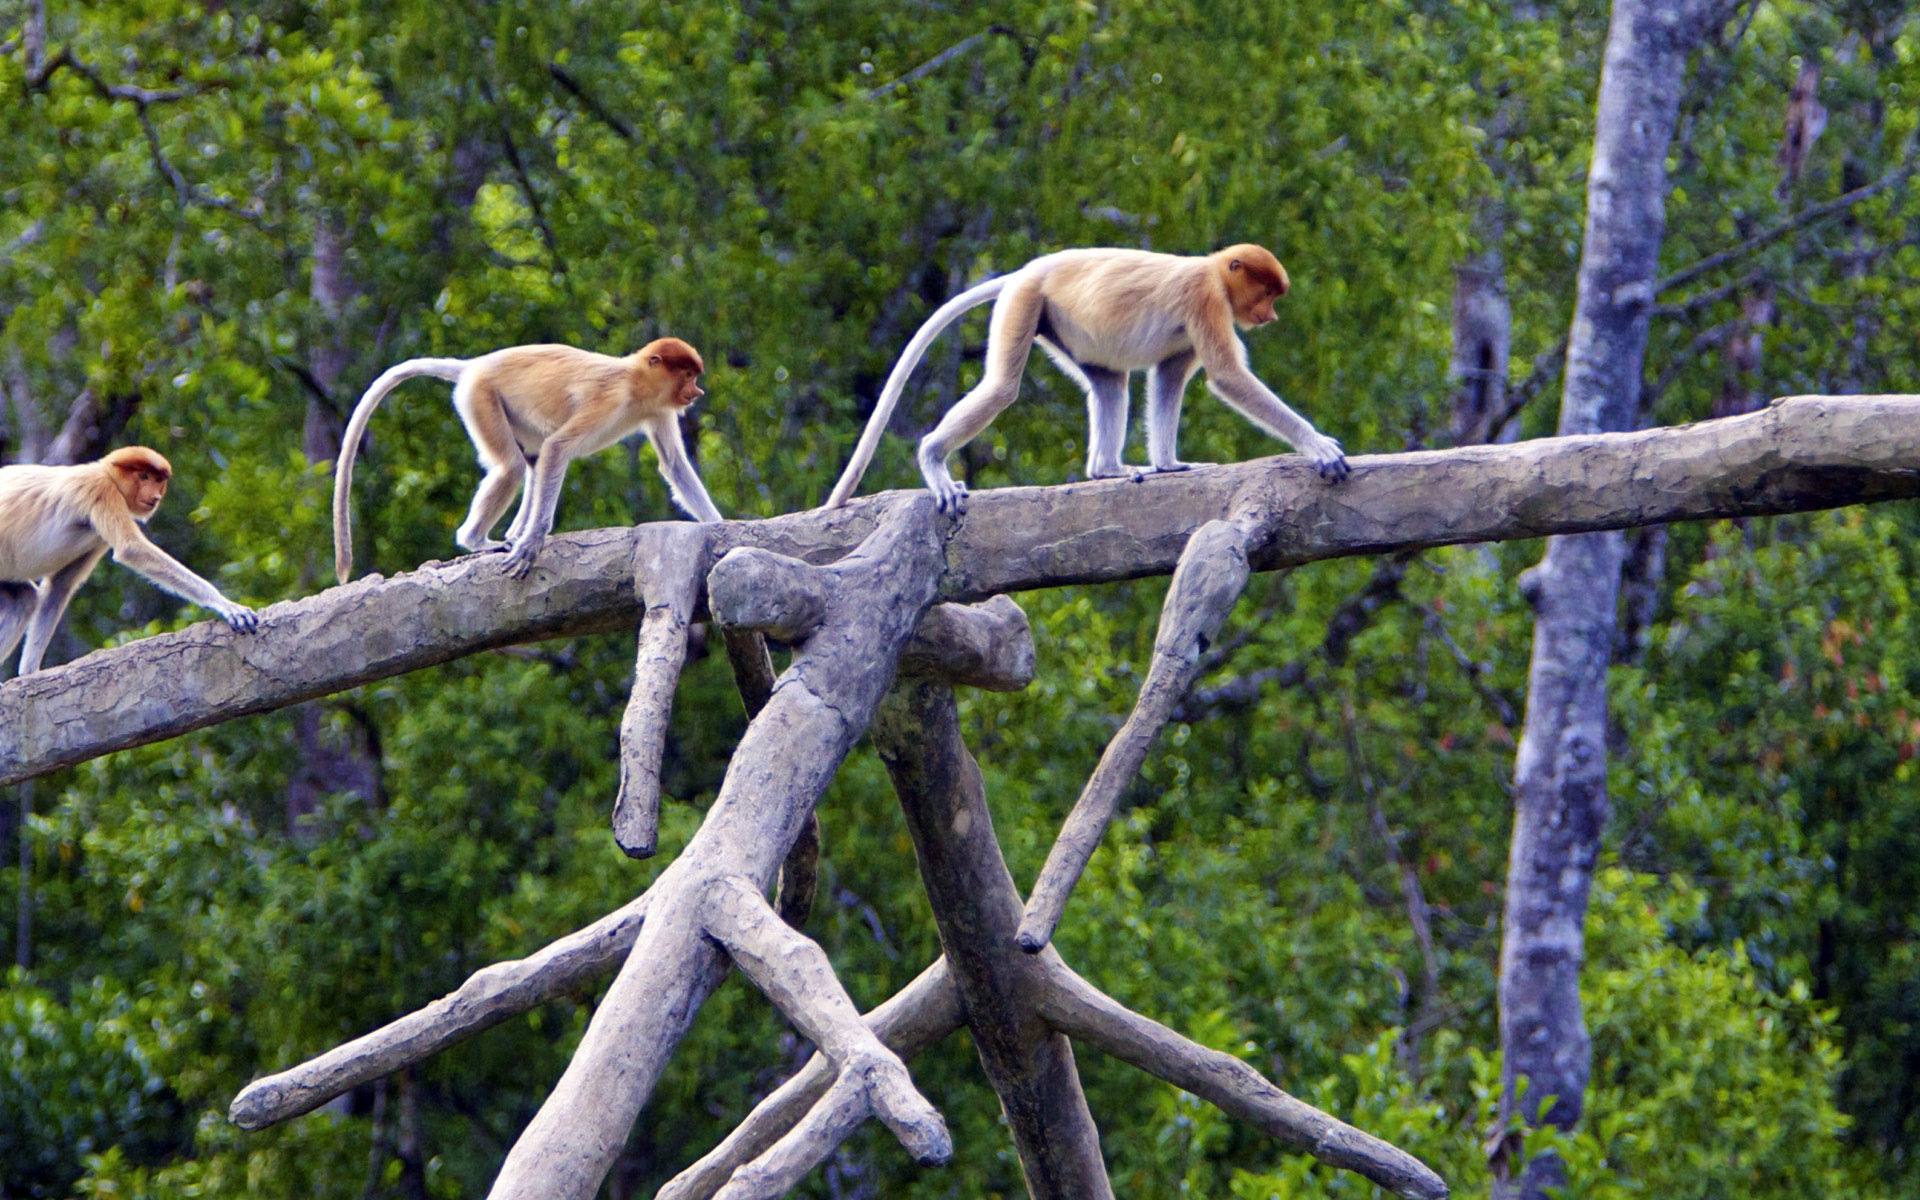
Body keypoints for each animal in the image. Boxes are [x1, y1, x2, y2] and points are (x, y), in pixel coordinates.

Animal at [0, 447, 261, 679]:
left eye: (158, 479)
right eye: (143, 476)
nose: (155, 496)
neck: (107, 473)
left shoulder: (98, 537)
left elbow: (60, 585)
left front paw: (29, 672)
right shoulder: (102, 491)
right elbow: (131, 548)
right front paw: (227, 605)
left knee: (23, 600)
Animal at [825, 243, 1351, 510]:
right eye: (1267, 292)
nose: (1271, 316)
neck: (1215, 270)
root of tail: (1026, 269)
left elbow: (1168, 378)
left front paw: (1170, 465)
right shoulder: (1205, 299)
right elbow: (1226, 375)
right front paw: (1319, 446)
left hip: (1062, 326)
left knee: (1109, 383)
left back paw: (1108, 469)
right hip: (1025, 301)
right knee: (1001, 388)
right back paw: (934, 460)